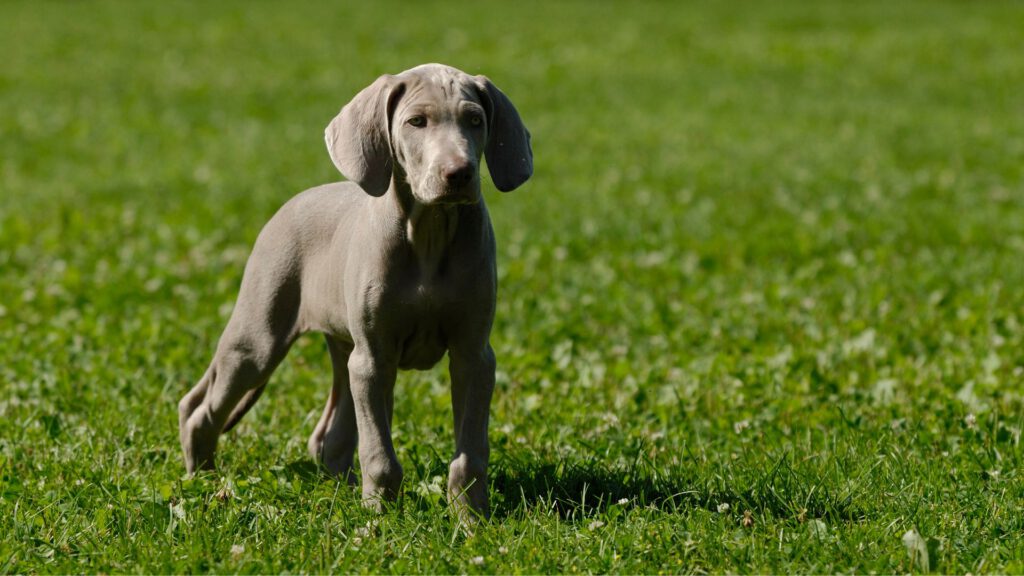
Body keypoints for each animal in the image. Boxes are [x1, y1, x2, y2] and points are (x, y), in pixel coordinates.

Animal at [179, 62, 536, 516]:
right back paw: (203, 480)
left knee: (328, 437)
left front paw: (470, 517)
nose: (459, 174)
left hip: (345, 348)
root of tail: (290, 204)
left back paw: (342, 490)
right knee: (200, 409)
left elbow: (470, 450)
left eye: (475, 121)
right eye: (416, 122)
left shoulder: (473, 355)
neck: (429, 234)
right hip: (260, 339)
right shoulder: (375, 358)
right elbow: (379, 453)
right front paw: (380, 516)